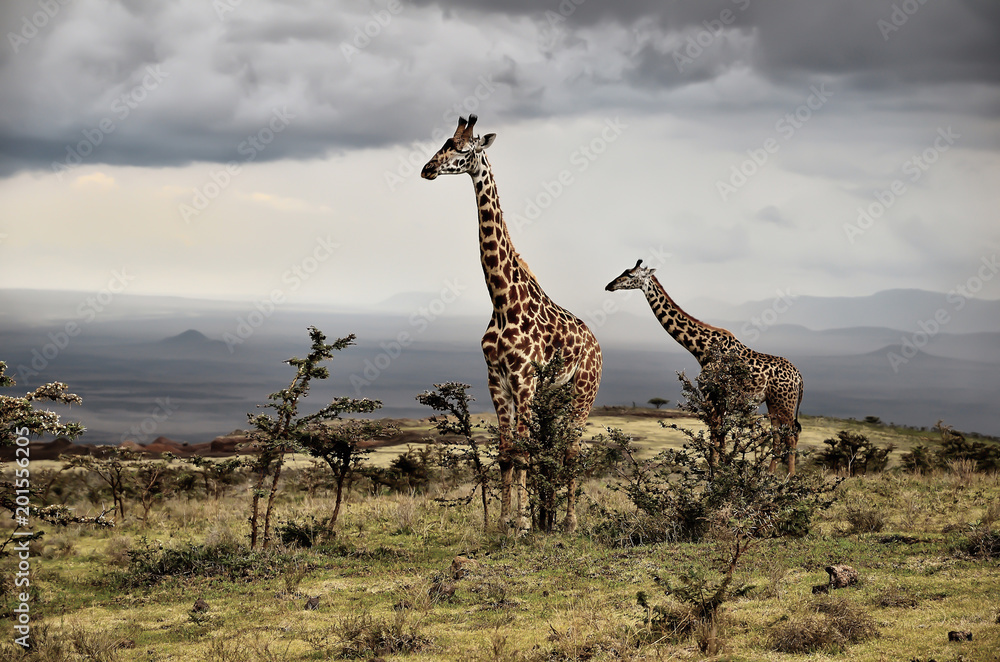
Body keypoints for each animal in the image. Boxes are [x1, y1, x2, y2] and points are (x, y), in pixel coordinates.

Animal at [421, 115, 603, 533]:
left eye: (463, 149)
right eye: (444, 143)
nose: (428, 169)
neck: (502, 300)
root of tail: (596, 343)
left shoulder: (523, 379)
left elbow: (521, 452)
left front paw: (521, 525)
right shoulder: (496, 380)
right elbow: (507, 453)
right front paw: (503, 522)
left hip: (583, 392)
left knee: (572, 450)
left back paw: (569, 523)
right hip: (554, 396)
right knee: (552, 447)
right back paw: (549, 519)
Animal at [605, 260, 804, 474]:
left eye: (631, 275)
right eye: (625, 271)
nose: (609, 285)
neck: (702, 349)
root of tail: (800, 377)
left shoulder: (711, 395)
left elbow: (715, 437)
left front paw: (715, 472)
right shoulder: (720, 399)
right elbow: (721, 438)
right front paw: (722, 470)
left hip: (785, 402)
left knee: (791, 436)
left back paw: (789, 478)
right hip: (773, 402)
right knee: (778, 436)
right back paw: (769, 475)